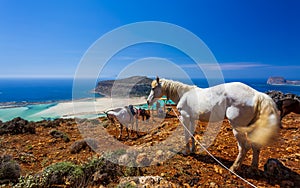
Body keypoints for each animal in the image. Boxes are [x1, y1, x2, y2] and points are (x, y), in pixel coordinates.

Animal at [146, 76, 280, 172]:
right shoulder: (193, 119)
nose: (147, 101)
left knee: (244, 147)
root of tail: (257, 94)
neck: (184, 94)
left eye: (153, 88)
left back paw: (233, 168)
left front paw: (186, 151)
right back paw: (253, 168)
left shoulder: (185, 117)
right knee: (255, 146)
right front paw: (193, 150)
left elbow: (186, 134)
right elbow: (192, 134)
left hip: (238, 128)